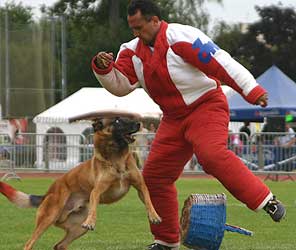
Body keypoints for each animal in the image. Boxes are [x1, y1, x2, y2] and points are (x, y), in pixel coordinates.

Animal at [0, 116, 162, 249]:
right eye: (117, 121)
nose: (139, 123)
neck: (117, 157)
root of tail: (47, 193)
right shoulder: (97, 190)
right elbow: (94, 206)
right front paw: (91, 221)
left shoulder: (140, 186)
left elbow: (148, 200)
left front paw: (154, 215)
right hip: (48, 218)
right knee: (29, 244)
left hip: (77, 228)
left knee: (59, 245)